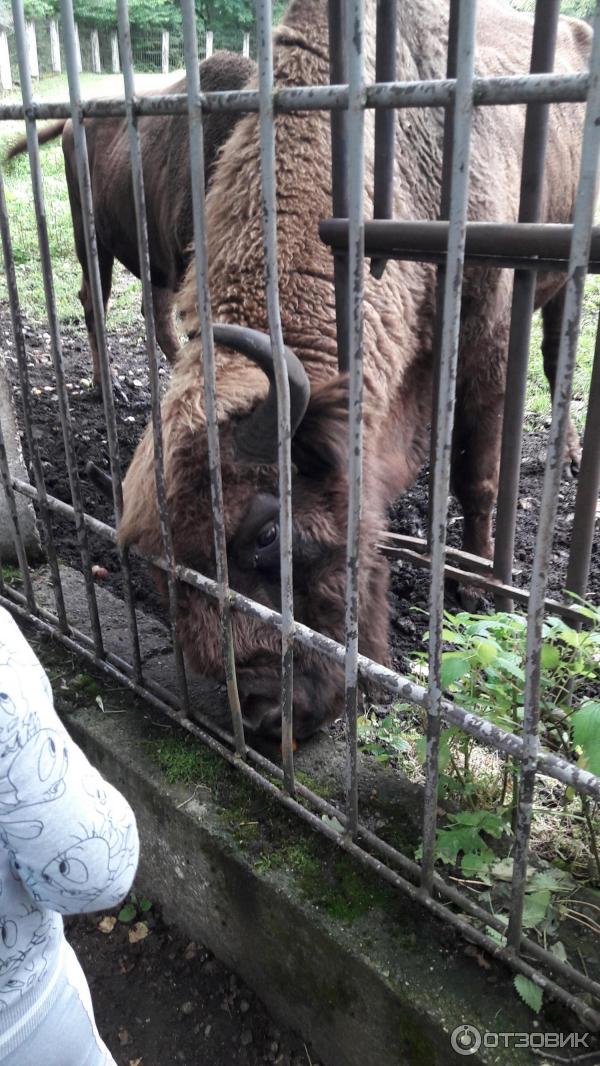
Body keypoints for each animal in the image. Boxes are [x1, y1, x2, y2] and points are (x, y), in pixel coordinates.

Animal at [118, 2, 592, 741]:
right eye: (159, 572)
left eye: (268, 533)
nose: (264, 713)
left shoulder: (484, 345)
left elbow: (476, 475)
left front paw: (473, 587)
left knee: (555, 359)